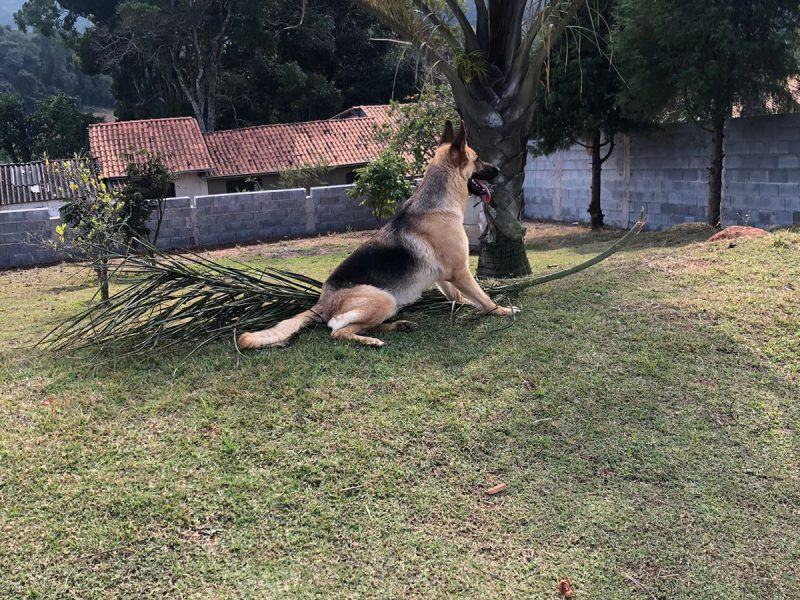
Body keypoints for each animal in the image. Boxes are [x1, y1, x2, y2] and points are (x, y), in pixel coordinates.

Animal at [236, 119, 520, 350]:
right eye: (477, 159)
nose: (498, 171)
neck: (438, 205)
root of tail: (322, 303)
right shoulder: (459, 271)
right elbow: (483, 297)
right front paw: (502, 310)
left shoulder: (446, 276)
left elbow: (461, 296)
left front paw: (470, 302)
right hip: (383, 299)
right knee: (338, 332)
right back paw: (370, 340)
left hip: (388, 303)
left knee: (359, 326)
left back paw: (398, 326)